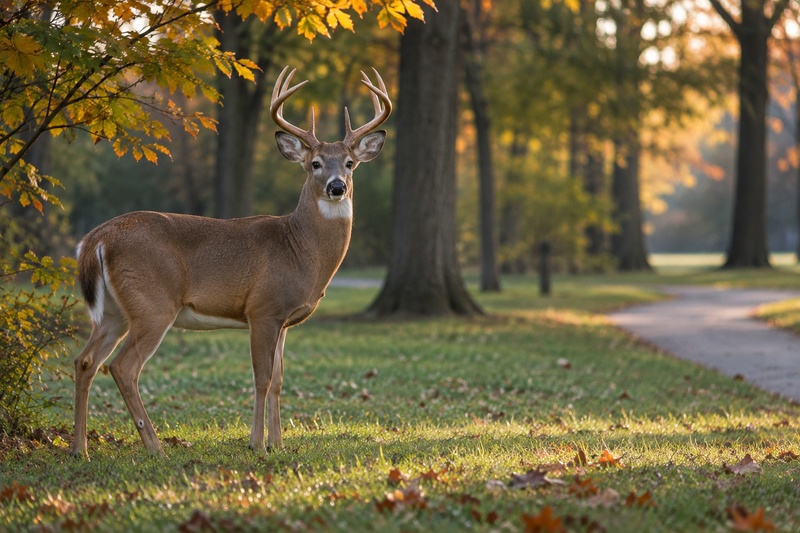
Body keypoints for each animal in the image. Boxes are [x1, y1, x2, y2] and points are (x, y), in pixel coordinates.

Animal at [70, 66, 391, 458]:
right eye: (314, 164)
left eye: (349, 163)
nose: (336, 187)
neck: (300, 249)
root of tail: (97, 238)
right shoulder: (262, 309)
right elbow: (262, 378)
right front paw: (257, 444)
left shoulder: (284, 320)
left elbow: (280, 380)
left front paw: (279, 444)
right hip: (153, 304)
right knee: (123, 366)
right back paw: (156, 448)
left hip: (115, 310)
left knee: (85, 361)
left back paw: (80, 448)